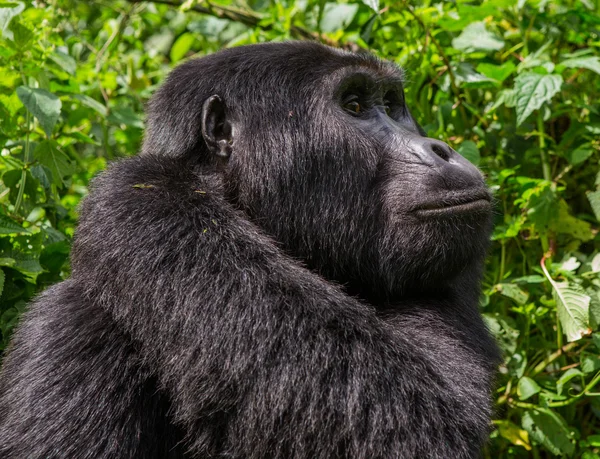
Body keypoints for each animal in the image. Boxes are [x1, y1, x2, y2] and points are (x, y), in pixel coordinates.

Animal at [0, 41, 500, 458]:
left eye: (394, 106)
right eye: (355, 106)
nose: (441, 149)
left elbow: (422, 418)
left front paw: (137, 194)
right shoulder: (65, 323)